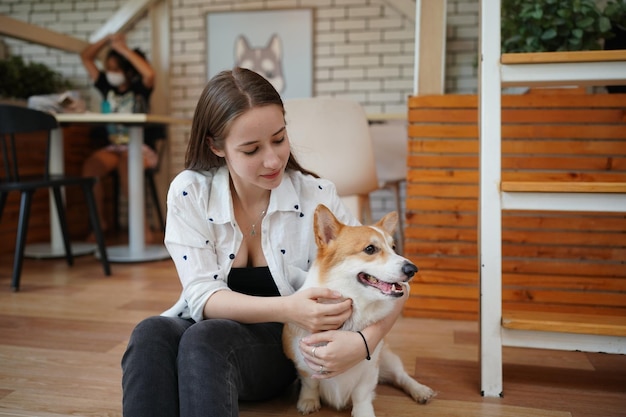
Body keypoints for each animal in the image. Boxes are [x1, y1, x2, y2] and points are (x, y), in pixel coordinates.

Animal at [280, 205, 432, 416]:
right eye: (370, 249)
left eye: (393, 248)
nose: (413, 269)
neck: (355, 310)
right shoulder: (302, 362)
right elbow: (310, 383)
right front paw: (308, 401)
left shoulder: (370, 367)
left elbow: (362, 394)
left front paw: (363, 412)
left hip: (387, 358)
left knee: (401, 376)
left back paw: (420, 390)